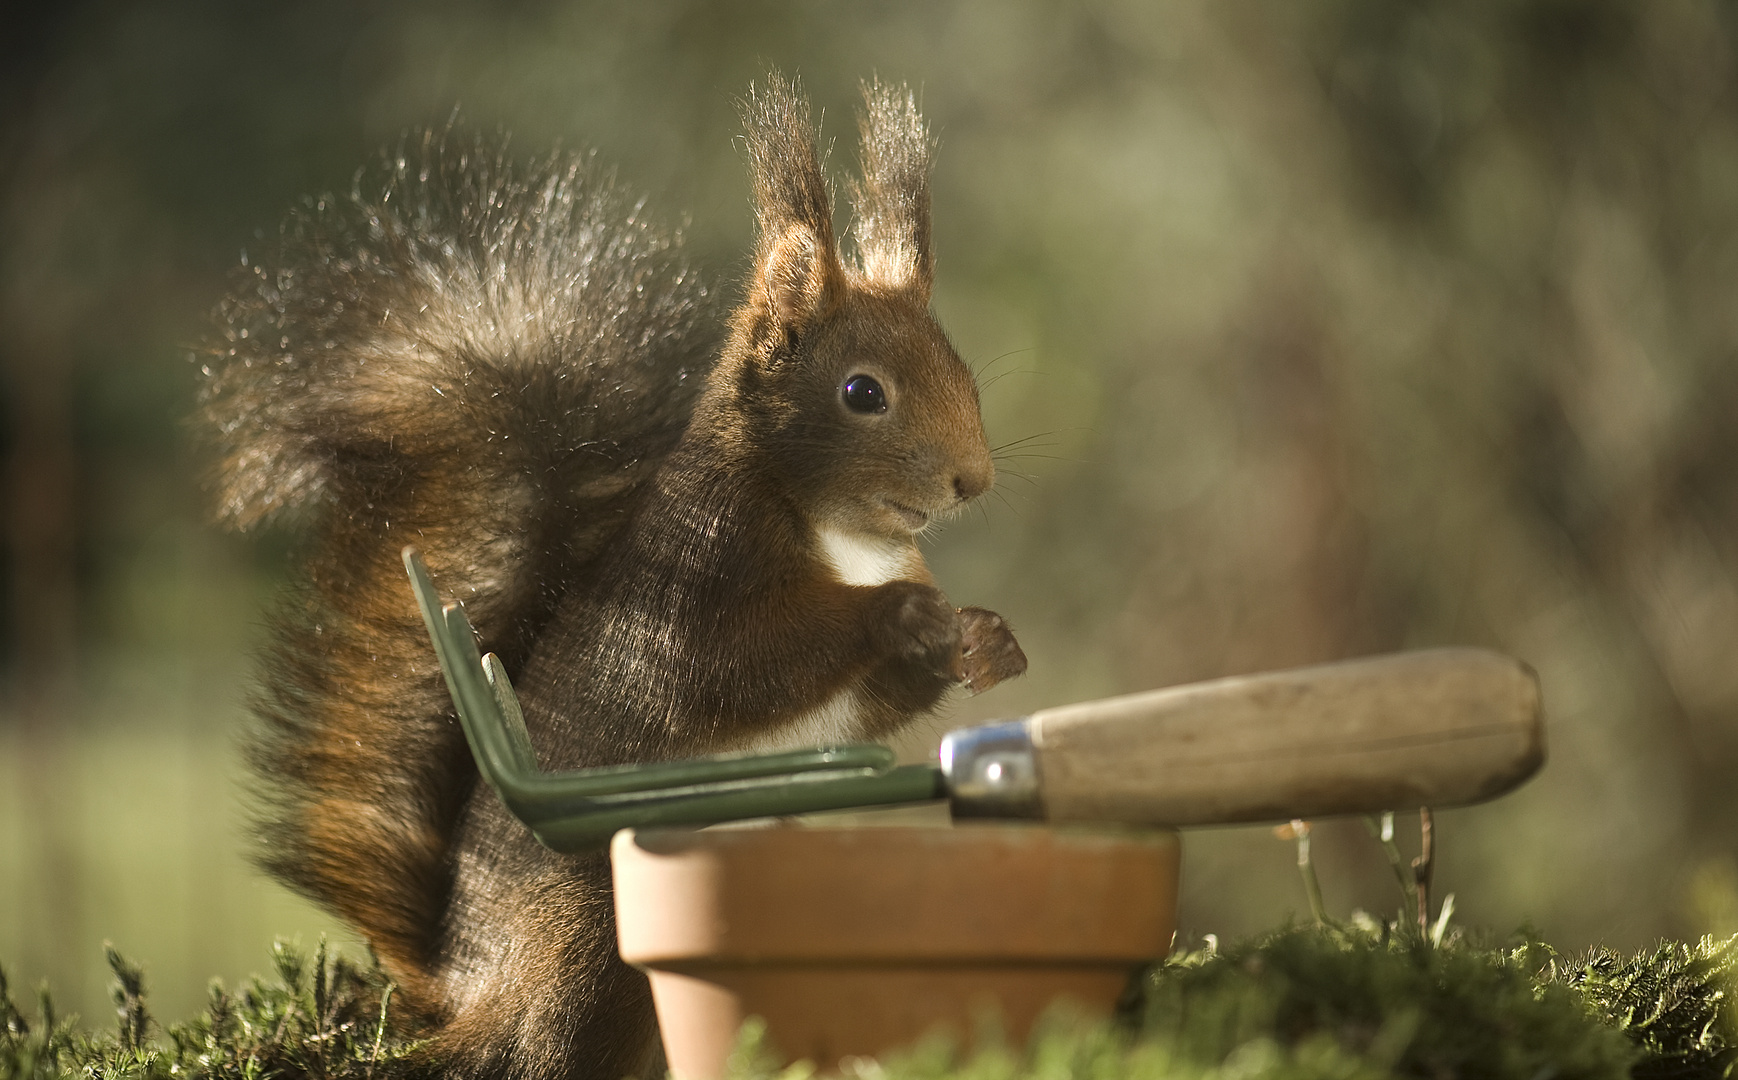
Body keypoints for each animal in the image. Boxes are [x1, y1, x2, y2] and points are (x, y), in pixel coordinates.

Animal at [199, 75, 1021, 1078]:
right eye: (863, 392)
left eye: (964, 372)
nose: (972, 480)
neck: (847, 539)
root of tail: (464, 983)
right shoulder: (684, 597)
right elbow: (743, 668)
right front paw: (900, 613)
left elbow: (866, 709)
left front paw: (984, 640)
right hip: (593, 919)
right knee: (542, 1047)